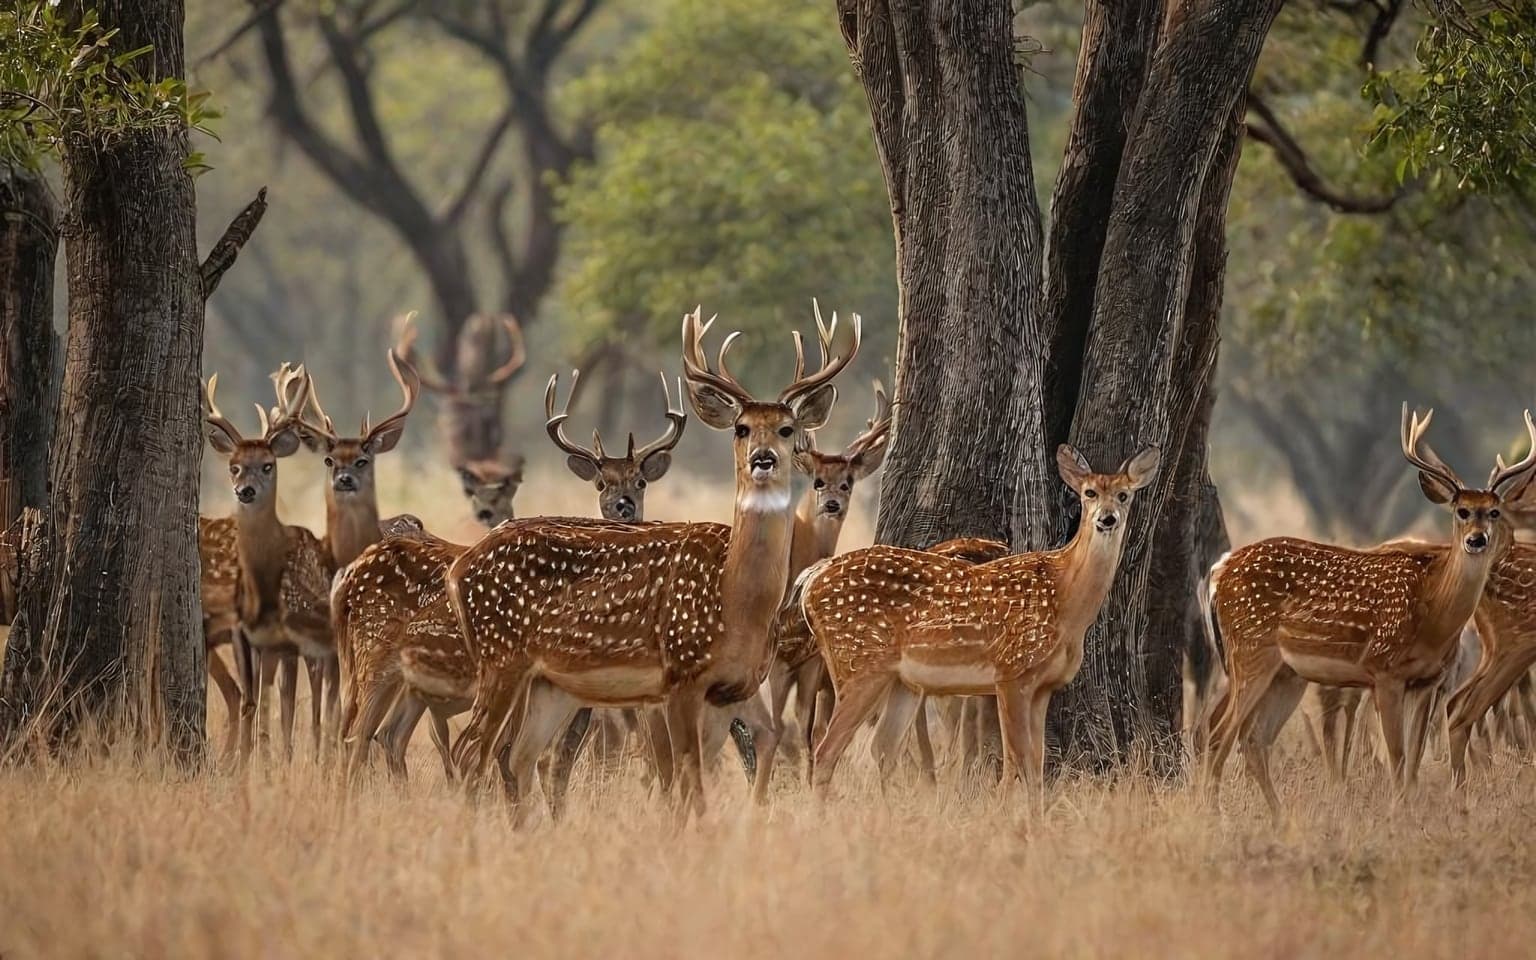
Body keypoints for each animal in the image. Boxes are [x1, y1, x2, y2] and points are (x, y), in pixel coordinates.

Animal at [201, 366, 335, 762]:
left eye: (268, 465)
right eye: (233, 467)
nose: (244, 490)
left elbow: (270, 701)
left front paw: (265, 759)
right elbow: (256, 698)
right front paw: (253, 759)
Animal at [437, 305, 859, 820]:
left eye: (787, 428)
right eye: (741, 428)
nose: (763, 459)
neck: (736, 600)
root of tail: (457, 568)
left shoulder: (729, 690)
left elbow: (704, 769)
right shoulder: (679, 674)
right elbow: (688, 778)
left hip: (548, 681)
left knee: (517, 756)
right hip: (501, 656)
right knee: (472, 751)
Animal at [799, 445, 1159, 799]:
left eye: (1124, 495)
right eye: (1089, 493)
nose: (1107, 518)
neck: (1065, 599)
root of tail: (810, 583)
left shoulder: (1044, 685)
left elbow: (1036, 763)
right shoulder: (1012, 670)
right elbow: (1019, 761)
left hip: (901, 680)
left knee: (883, 747)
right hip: (859, 662)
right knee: (827, 749)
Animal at [1202, 405, 1536, 816]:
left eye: (1493, 512)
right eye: (1461, 511)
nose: (1477, 540)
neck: (1431, 614)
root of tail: (1219, 571)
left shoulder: (1427, 680)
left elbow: (1414, 758)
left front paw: (1409, 810)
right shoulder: (1384, 670)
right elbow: (1396, 754)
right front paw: (1396, 811)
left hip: (1286, 673)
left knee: (1253, 738)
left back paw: (1278, 817)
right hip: (1249, 652)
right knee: (1219, 731)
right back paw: (1214, 813)